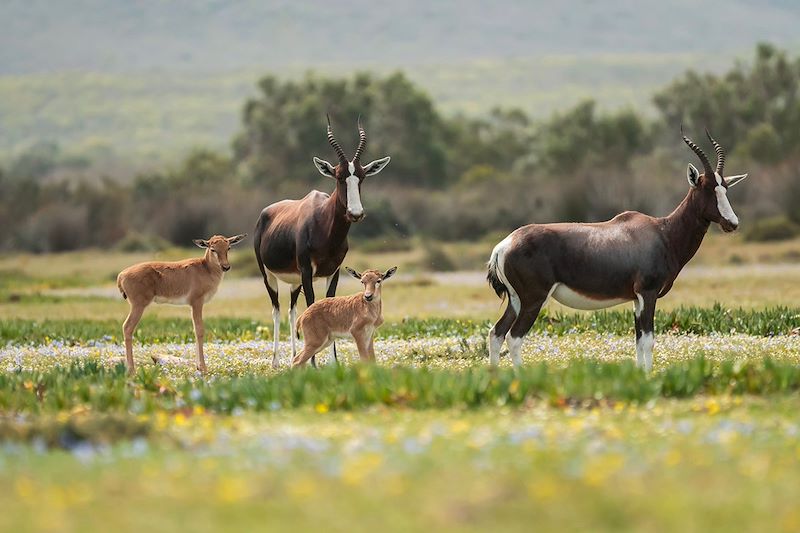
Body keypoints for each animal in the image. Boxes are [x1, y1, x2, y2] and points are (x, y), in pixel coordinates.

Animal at [116, 233, 247, 374]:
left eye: (228, 248)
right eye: (213, 249)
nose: (226, 267)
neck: (205, 268)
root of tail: (121, 275)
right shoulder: (196, 303)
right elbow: (199, 330)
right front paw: (203, 368)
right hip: (138, 306)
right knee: (127, 327)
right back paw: (131, 370)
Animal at [255, 116, 392, 366]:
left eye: (361, 176)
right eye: (339, 176)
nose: (356, 213)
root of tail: (265, 214)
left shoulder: (333, 272)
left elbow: (329, 303)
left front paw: (333, 362)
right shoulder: (307, 271)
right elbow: (313, 304)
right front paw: (314, 363)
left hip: (294, 281)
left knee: (291, 311)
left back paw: (293, 354)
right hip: (269, 275)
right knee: (276, 310)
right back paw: (276, 361)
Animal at [488, 129, 752, 370]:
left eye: (725, 188)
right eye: (706, 188)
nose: (732, 223)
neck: (663, 231)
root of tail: (503, 246)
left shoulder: (636, 299)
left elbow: (638, 341)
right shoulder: (648, 293)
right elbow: (648, 340)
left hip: (516, 300)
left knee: (496, 333)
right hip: (534, 299)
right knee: (514, 337)